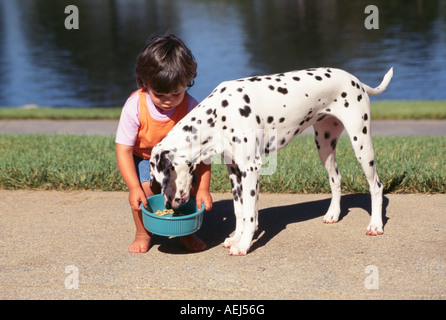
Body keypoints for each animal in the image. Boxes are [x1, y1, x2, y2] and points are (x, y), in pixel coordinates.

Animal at [151, 67, 394, 255]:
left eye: (163, 180)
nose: (167, 205)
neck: (219, 113)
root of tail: (356, 81)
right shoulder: (235, 171)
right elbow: (240, 211)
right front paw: (236, 237)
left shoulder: (250, 169)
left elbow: (250, 214)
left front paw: (244, 245)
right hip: (325, 145)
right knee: (336, 179)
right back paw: (333, 214)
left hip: (361, 143)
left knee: (376, 186)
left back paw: (375, 225)